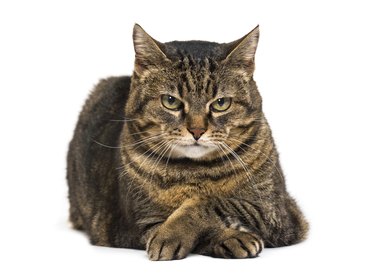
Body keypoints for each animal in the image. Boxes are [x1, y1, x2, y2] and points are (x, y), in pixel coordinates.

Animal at [67, 24, 308, 262]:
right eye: (170, 101)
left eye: (221, 103)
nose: (197, 130)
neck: (193, 173)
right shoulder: (142, 222)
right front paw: (230, 237)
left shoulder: (274, 210)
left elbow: (210, 202)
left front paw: (176, 232)